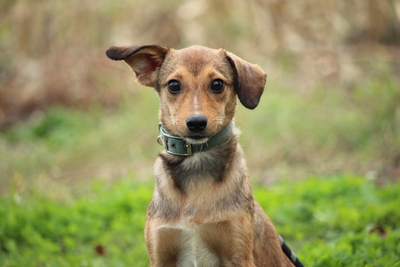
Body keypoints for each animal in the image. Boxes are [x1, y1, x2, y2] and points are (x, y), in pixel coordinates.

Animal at [106, 45, 296, 266]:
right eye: (173, 85)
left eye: (217, 84)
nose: (196, 123)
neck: (196, 166)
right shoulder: (160, 255)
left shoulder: (239, 254)